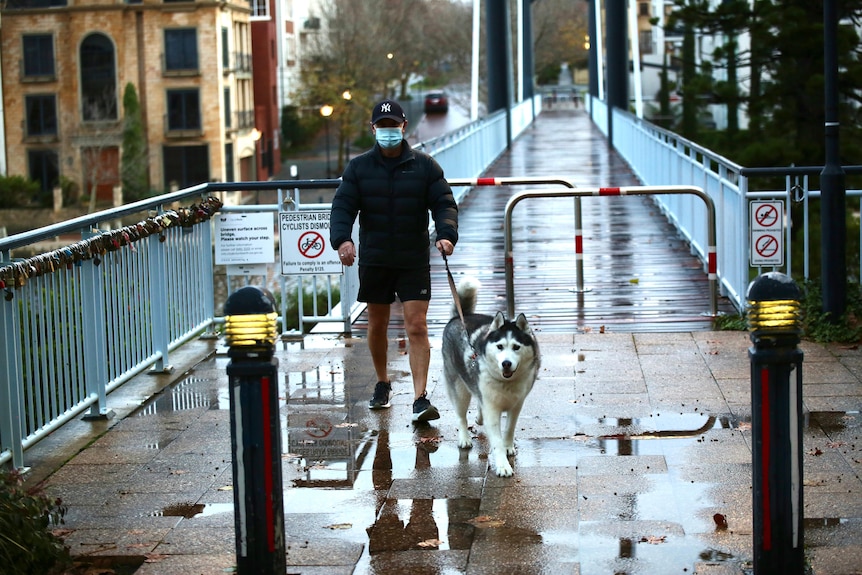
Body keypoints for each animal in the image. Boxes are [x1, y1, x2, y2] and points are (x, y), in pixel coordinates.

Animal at [446, 280, 540, 476]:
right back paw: (464, 437)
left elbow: (510, 428)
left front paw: (508, 446)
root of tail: (459, 317)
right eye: (500, 346)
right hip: (459, 388)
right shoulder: (492, 409)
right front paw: (503, 465)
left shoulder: (517, 404)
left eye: (516, 347)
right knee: (461, 415)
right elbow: (496, 440)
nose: (506, 363)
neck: (506, 383)